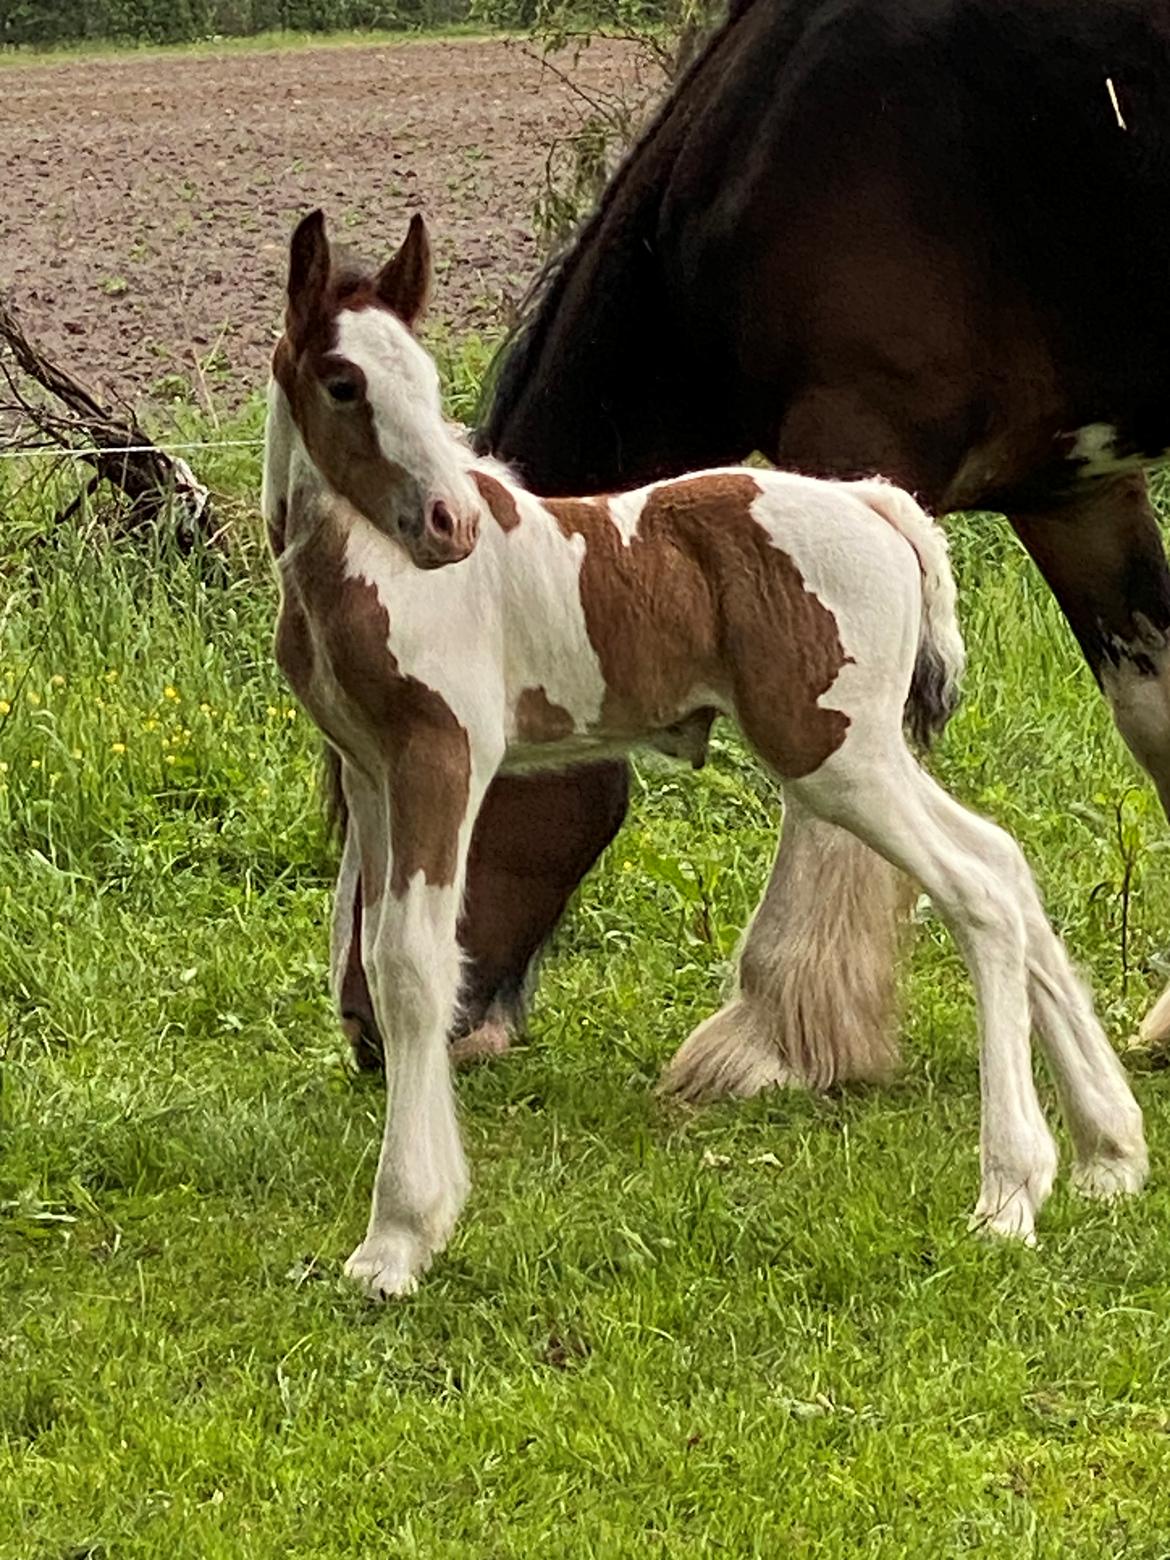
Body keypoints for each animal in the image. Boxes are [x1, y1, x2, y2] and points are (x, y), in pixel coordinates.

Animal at [263, 213, 1148, 1297]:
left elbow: (414, 966)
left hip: (834, 754)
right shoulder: (375, 771)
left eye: (424, 380)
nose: (451, 524)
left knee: (977, 888)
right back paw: (1109, 1150)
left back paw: (1010, 1193)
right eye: (345, 382)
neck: (360, 572)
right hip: (862, 751)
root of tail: (880, 507)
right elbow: (382, 951)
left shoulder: (442, 758)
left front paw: (397, 1237)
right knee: (1007, 863)